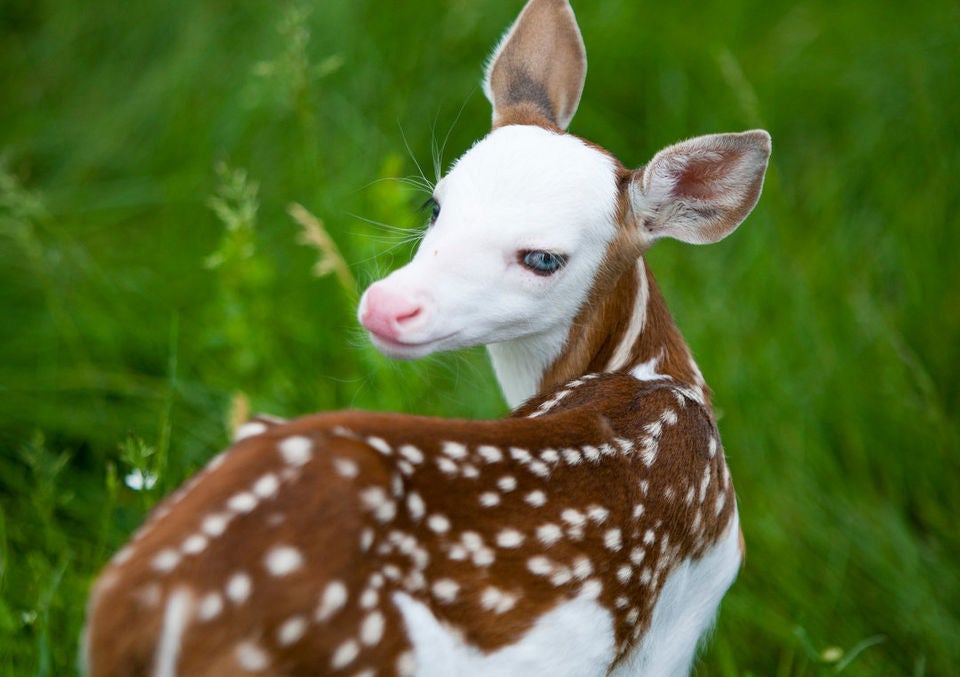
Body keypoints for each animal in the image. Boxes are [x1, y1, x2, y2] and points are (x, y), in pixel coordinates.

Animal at [84, 0, 772, 672]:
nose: (387, 306)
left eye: (543, 258)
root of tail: (142, 611)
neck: (656, 378)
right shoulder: (674, 628)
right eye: (434, 206)